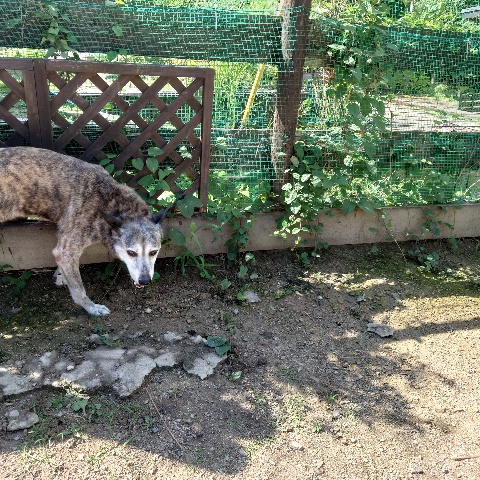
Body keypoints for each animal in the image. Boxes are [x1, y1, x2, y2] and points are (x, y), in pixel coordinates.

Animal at [0, 147, 169, 316]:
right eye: (131, 253)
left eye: (154, 252)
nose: (145, 281)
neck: (108, 202)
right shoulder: (66, 251)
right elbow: (79, 290)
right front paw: (92, 308)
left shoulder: (64, 243)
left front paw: (60, 275)